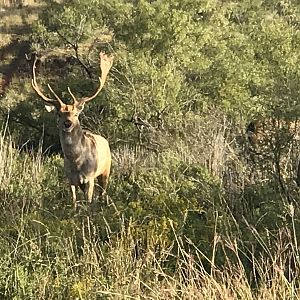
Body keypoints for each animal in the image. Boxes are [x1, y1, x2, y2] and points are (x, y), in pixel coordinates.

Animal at [31, 52, 113, 206]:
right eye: (59, 114)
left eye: (75, 114)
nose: (67, 123)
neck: (76, 163)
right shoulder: (70, 179)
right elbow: (73, 201)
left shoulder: (90, 177)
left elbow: (89, 200)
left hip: (106, 169)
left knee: (103, 192)